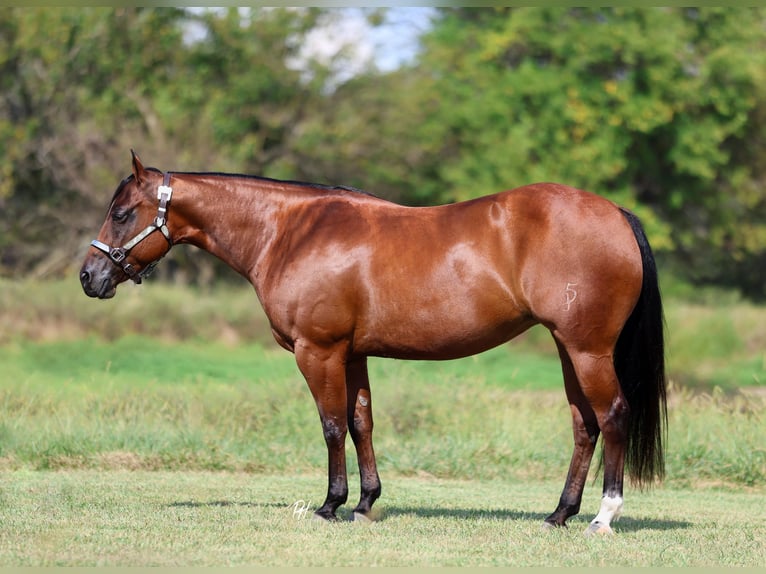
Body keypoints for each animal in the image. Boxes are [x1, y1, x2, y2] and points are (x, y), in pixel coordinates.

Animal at [80, 151, 667, 536]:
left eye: (122, 213)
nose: (89, 277)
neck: (289, 232)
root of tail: (615, 213)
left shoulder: (318, 351)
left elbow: (332, 425)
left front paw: (330, 505)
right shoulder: (354, 352)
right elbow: (361, 421)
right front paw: (365, 503)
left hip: (588, 349)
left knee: (613, 415)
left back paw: (602, 516)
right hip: (569, 349)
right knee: (584, 425)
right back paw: (559, 513)